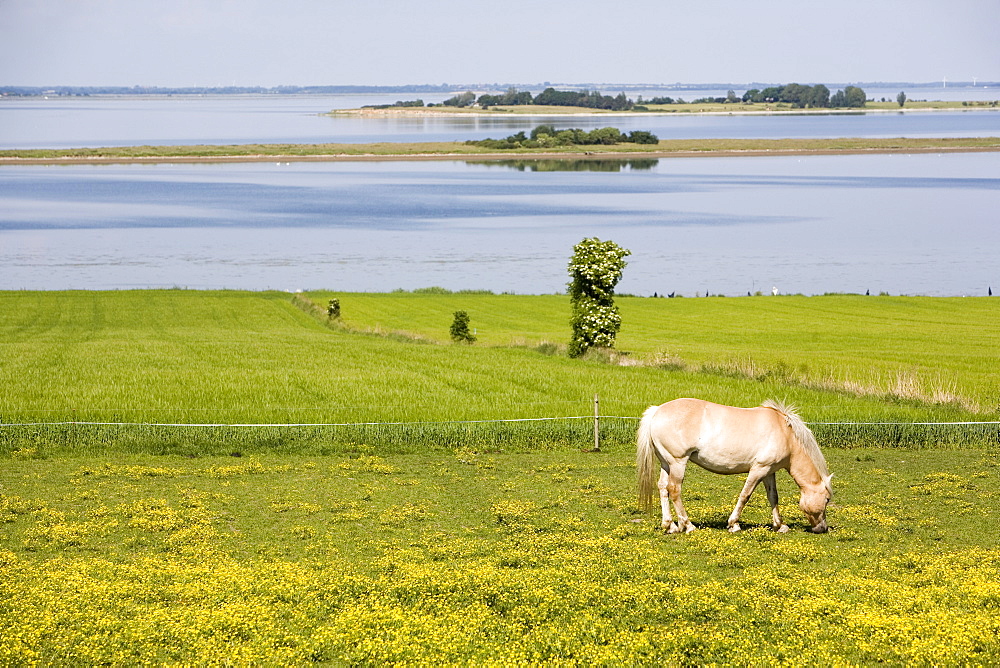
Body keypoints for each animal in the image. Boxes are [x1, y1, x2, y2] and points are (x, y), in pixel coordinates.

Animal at [636, 400, 832, 536]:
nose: (822, 528)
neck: (785, 433)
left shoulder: (769, 471)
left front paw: (780, 525)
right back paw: (688, 526)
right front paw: (734, 524)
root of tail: (656, 411)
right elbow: (745, 495)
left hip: (666, 463)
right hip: (678, 463)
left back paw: (670, 525)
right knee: (674, 490)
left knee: (663, 488)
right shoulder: (758, 470)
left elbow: (773, 497)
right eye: (827, 499)